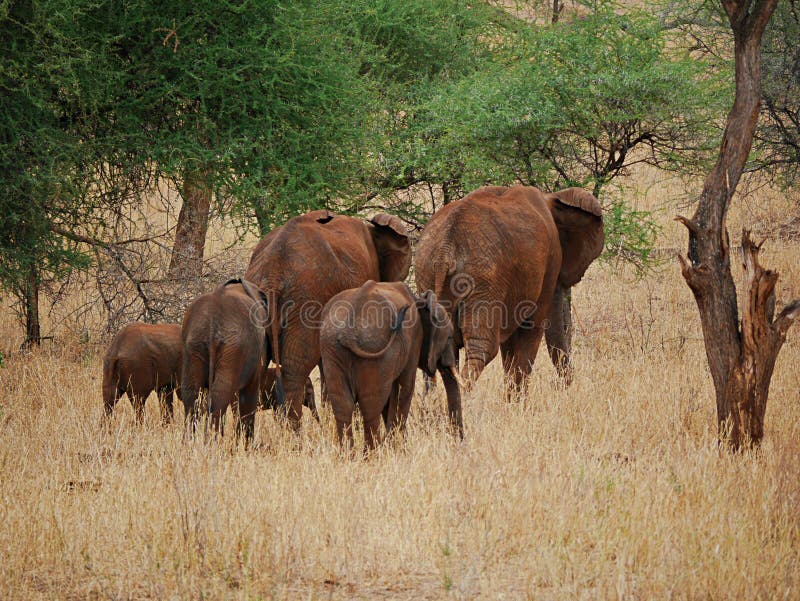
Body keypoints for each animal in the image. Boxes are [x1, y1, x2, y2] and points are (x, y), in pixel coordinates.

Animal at [320, 282, 462, 450]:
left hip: (332, 350)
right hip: (372, 350)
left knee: (343, 406)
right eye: (449, 337)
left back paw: (348, 454)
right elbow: (405, 388)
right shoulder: (414, 340)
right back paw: (372, 453)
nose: (460, 442)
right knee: (371, 405)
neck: (419, 299)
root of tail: (348, 334)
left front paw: (394, 444)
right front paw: (397, 446)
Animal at [416, 185, 604, 392]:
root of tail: (446, 248)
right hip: (483, 279)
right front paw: (517, 399)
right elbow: (531, 329)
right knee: (482, 349)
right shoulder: (549, 265)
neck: (550, 198)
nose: (562, 387)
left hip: (428, 271)